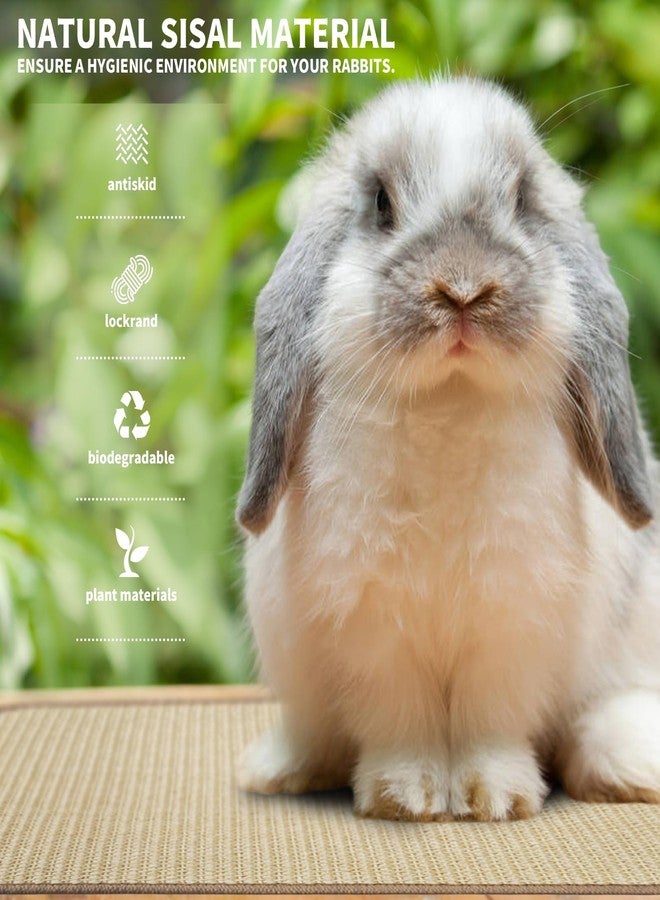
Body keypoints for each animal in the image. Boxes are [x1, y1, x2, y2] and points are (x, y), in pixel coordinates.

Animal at [235, 75, 660, 822]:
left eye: (520, 199)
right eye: (381, 203)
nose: (463, 289)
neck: (448, 403)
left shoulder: (512, 623)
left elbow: (492, 720)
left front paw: (496, 797)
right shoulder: (374, 629)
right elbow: (400, 721)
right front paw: (405, 796)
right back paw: (282, 767)